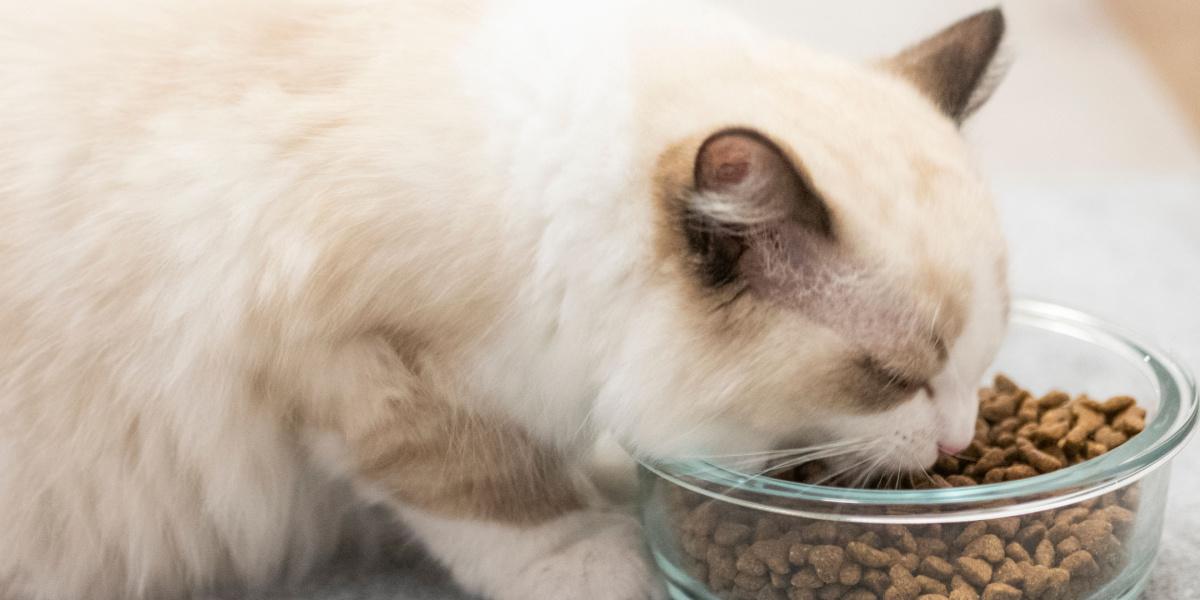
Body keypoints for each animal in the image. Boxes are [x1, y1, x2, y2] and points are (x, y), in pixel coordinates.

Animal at [0, 1, 1012, 600]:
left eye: (978, 370)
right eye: (894, 377)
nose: (958, 440)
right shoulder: (355, 358)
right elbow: (493, 492)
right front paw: (606, 556)